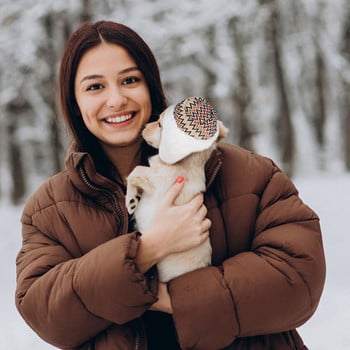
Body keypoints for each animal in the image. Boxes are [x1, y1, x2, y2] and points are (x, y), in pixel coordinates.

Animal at [125, 95, 227, 282]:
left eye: (160, 124)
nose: (143, 127)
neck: (185, 163)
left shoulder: (156, 182)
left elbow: (135, 171)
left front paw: (131, 200)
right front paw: (134, 197)